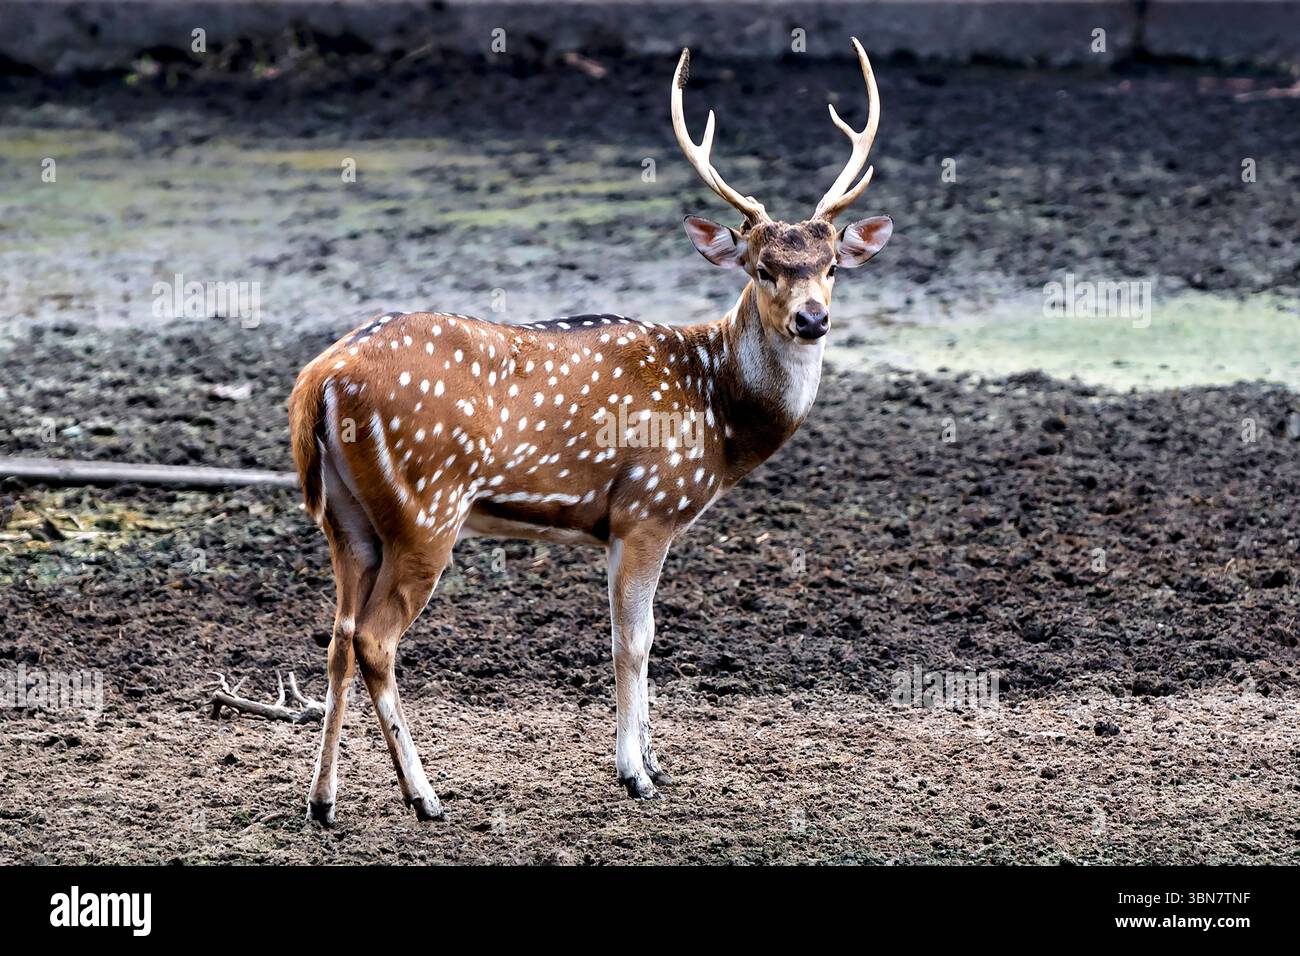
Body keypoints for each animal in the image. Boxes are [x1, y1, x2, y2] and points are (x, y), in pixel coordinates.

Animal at [279, 39, 893, 825]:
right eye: (763, 267)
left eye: (833, 264)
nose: (812, 318)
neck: (719, 414)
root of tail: (317, 380)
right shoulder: (648, 507)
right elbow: (634, 640)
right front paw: (636, 774)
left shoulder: (618, 525)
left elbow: (640, 633)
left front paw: (653, 760)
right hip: (425, 508)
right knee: (375, 639)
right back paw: (425, 796)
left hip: (345, 517)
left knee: (335, 634)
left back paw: (323, 801)